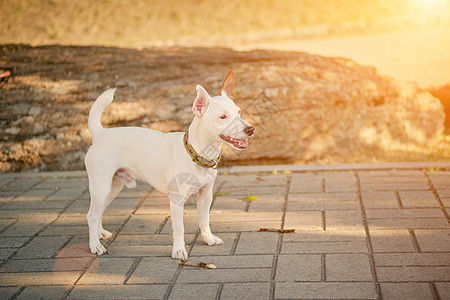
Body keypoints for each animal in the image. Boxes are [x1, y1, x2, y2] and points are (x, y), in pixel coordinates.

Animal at [84, 71, 253, 258]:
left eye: (239, 112)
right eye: (223, 117)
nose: (250, 129)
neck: (196, 154)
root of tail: (100, 133)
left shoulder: (205, 195)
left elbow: (204, 219)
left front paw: (208, 238)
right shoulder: (177, 201)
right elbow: (179, 228)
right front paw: (179, 250)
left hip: (112, 188)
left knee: (98, 211)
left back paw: (100, 233)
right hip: (101, 186)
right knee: (91, 215)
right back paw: (95, 245)